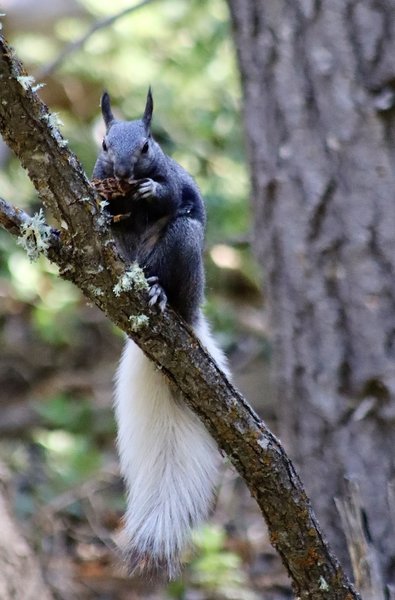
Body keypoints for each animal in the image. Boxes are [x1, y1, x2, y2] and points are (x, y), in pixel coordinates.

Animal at [93, 89, 229, 576]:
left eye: (147, 146)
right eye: (104, 145)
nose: (123, 173)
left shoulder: (172, 178)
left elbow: (172, 196)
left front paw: (152, 191)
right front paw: (107, 203)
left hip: (182, 247)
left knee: (173, 257)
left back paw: (157, 292)